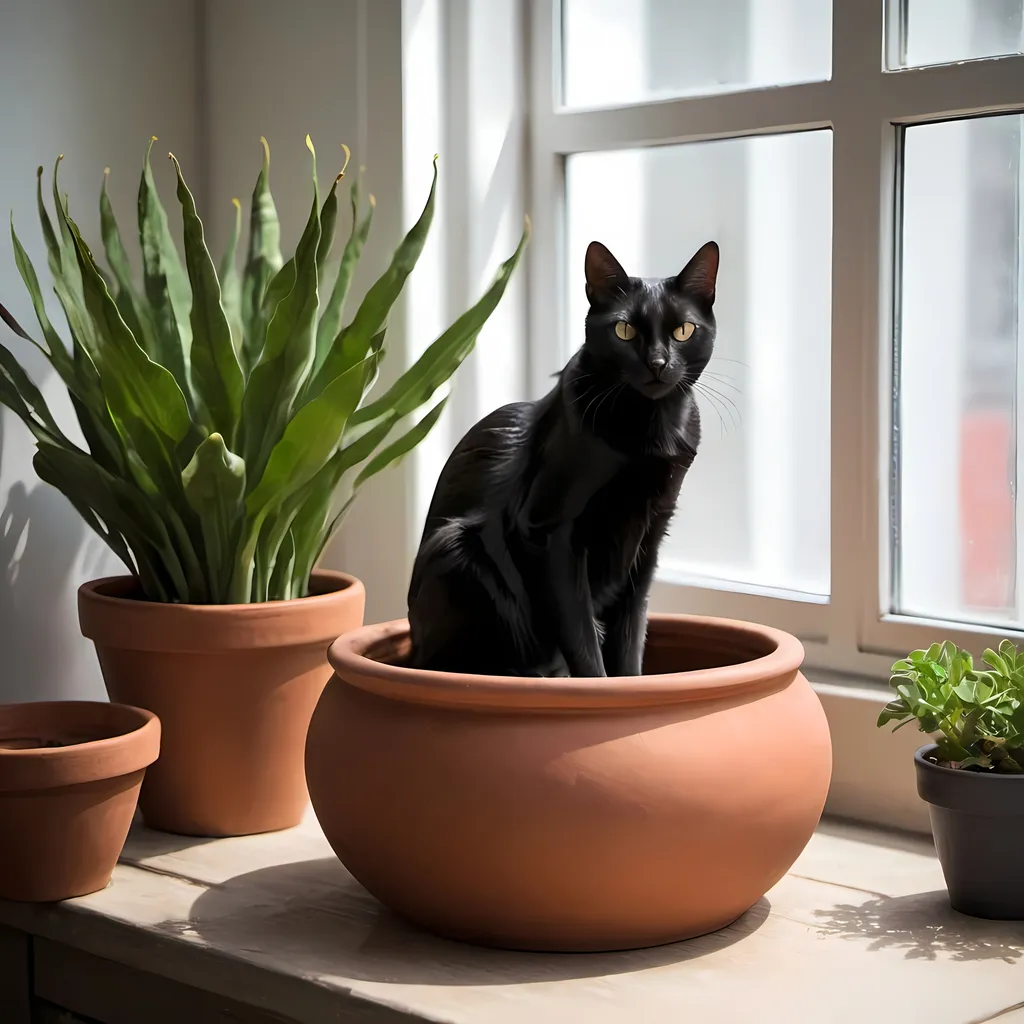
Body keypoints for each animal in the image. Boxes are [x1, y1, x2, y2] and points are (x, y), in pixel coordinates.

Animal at [407, 236, 720, 675]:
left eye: (683, 330)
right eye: (624, 330)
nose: (658, 363)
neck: (647, 433)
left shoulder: (650, 536)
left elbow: (629, 639)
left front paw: (634, 687)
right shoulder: (549, 533)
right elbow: (582, 640)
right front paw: (597, 688)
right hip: (458, 550)